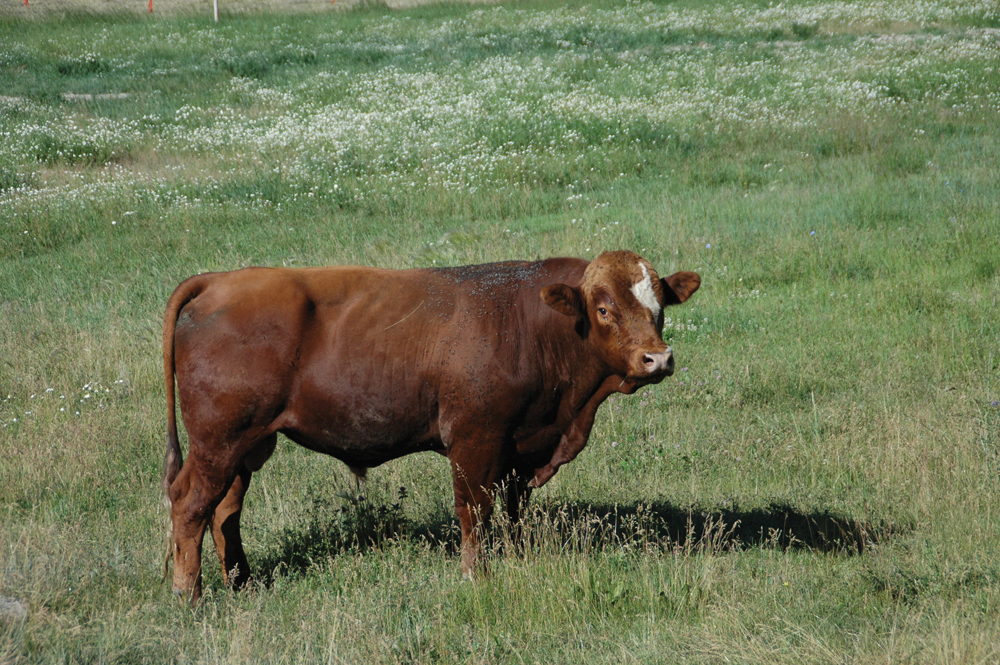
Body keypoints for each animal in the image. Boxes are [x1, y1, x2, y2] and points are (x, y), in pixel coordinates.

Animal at [162, 250, 700, 600]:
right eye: (604, 309)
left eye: (660, 308)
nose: (657, 359)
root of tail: (219, 280)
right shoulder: (474, 439)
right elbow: (474, 513)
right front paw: (474, 577)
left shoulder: (521, 449)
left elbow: (515, 512)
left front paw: (518, 559)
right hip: (218, 442)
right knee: (190, 504)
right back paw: (191, 595)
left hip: (247, 445)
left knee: (224, 511)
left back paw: (241, 583)